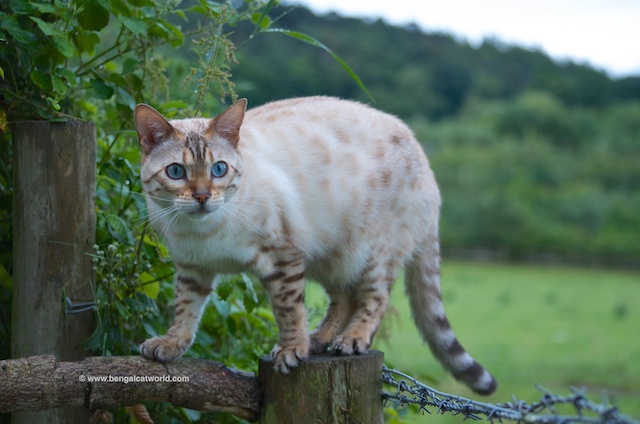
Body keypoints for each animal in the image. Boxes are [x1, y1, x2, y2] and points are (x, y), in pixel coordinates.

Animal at [134, 95, 496, 394]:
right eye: (176, 172)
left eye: (218, 169)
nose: (202, 197)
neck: (203, 233)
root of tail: (427, 164)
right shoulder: (192, 268)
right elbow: (185, 310)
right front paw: (171, 345)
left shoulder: (283, 256)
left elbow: (289, 310)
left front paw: (291, 351)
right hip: (330, 257)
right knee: (344, 299)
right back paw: (320, 341)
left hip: (371, 254)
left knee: (375, 298)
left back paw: (350, 340)